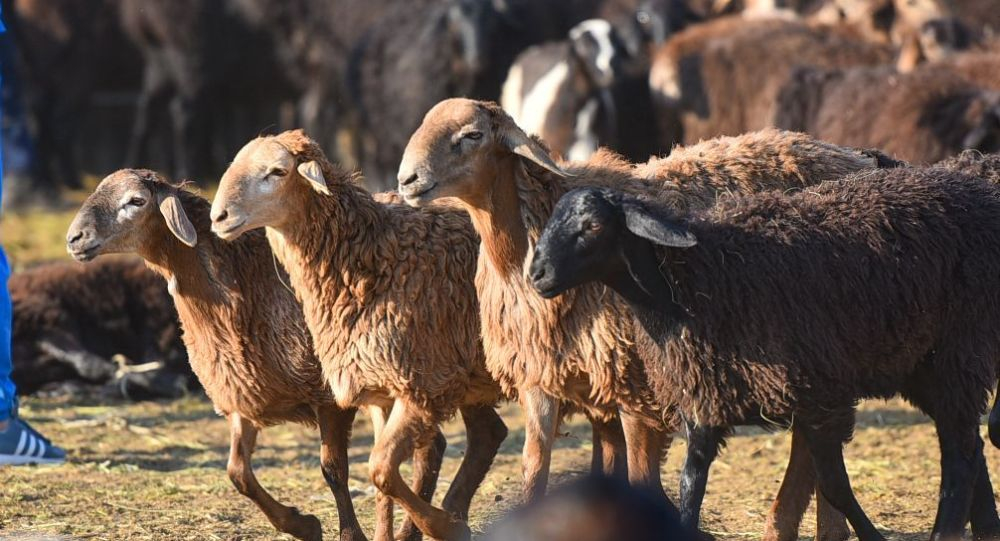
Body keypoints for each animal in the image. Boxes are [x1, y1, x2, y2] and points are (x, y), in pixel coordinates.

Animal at [67, 171, 458, 540]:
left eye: (136, 200)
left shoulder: (328, 397)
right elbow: (238, 473)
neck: (245, 285)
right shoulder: (243, 395)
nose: (74, 238)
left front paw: (348, 534)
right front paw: (302, 525)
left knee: (427, 449)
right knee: (432, 446)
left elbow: (333, 470)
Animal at [209, 131, 508, 540]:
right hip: (469, 374)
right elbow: (382, 481)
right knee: (488, 433)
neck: (373, 258)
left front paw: (442, 525)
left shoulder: (419, 384)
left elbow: (380, 469)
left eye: (277, 171)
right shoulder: (381, 388)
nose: (218, 216)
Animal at [394, 98, 896, 540]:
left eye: (472, 135)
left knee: (813, 444)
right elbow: (533, 475)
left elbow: (640, 478)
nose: (407, 180)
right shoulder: (541, 377)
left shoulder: (636, 381)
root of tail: (853, 155)